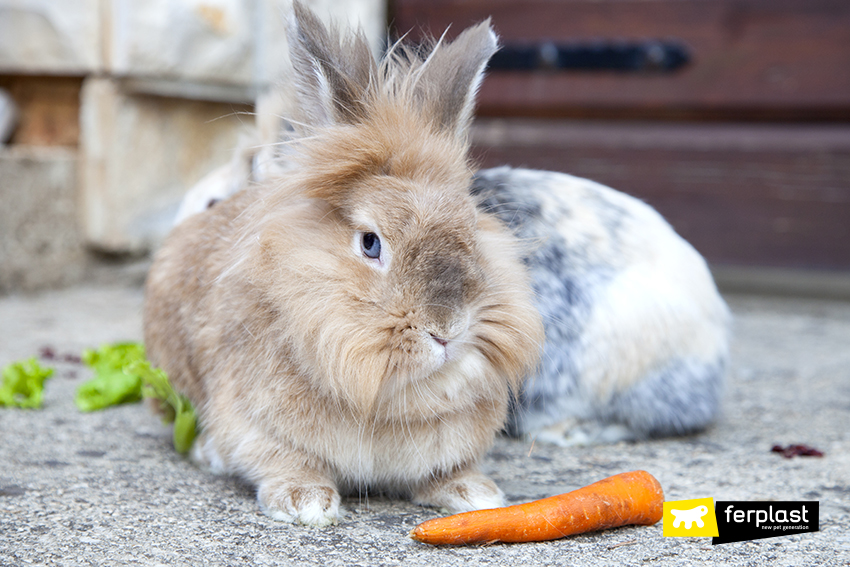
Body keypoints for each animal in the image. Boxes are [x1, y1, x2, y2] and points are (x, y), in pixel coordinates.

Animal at [144, 3, 544, 528]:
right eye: (371, 243)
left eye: (471, 231)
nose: (447, 330)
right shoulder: (256, 425)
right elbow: (284, 461)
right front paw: (306, 504)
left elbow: (445, 471)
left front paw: (475, 494)